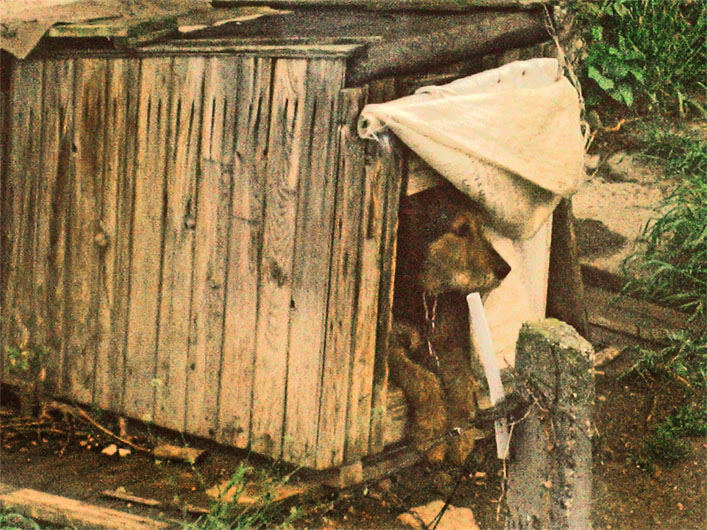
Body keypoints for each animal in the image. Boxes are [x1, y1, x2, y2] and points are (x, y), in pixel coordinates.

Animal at [390, 182, 512, 462]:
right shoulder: (389, 344)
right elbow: (421, 377)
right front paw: (432, 431)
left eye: (481, 225)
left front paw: (460, 432)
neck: (425, 297)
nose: (505, 269)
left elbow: (462, 381)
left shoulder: (450, 344)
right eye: (461, 230)